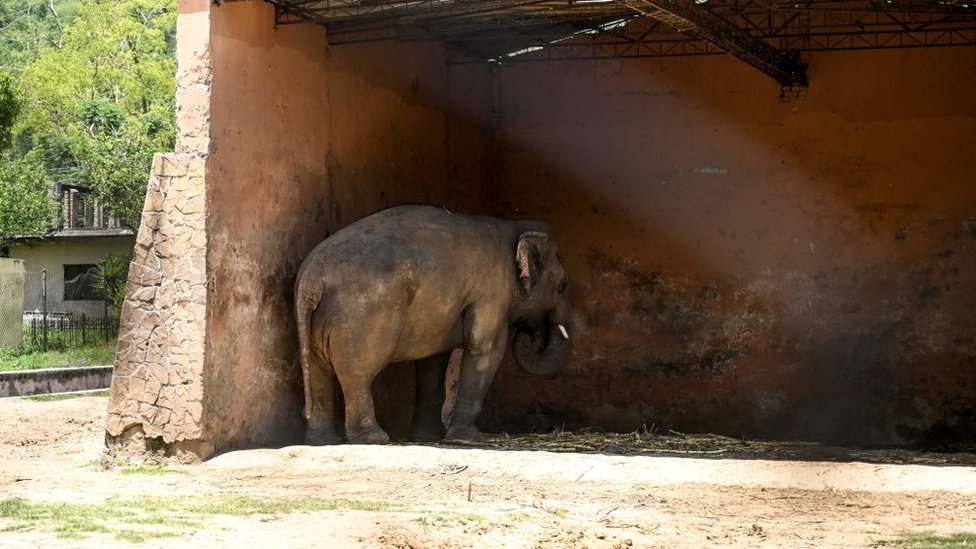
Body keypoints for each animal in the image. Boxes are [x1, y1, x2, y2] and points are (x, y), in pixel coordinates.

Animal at [298, 203, 572, 444]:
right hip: (358, 321)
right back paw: (373, 440)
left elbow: (433, 360)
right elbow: (485, 347)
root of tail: (311, 281)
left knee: (318, 372)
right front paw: (468, 439)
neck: (513, 228)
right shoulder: (492, 292)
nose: (531, 336)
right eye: (563, 285)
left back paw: (324, 442)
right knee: (357, 373)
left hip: (317, 324)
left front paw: (429, 437)